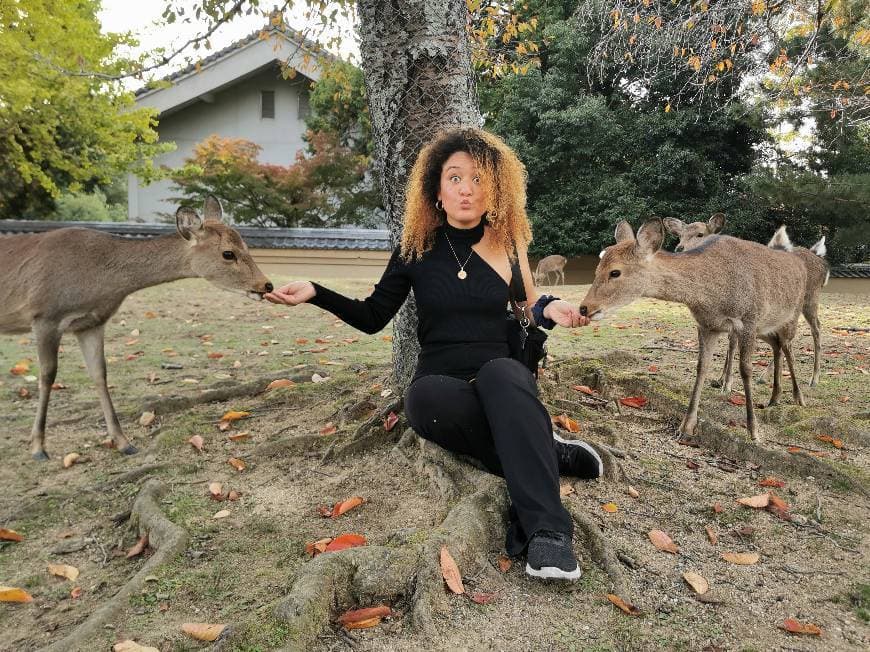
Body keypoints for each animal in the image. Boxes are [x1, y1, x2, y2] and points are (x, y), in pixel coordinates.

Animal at [0, 196, 272, 460]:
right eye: (228, 253)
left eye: (245, 245)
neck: (97, 280)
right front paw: (38, 448)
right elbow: (47, 375)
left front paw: (124, 443)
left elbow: (99, 373)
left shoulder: (91, 323)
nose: (266, 285)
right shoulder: (44, 315)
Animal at [584, 220, 808, 444]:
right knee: (777, 345)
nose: (584, 308)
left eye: (615, 272)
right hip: (766, 327)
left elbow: (746, 370)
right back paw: (774, 397)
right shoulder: (707, 326)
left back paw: (799, 398)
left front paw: (753, 431)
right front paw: (686, 426)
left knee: (789, 349)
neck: (711, 296)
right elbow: (701, 367)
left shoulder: (749, 320)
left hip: (791, 315)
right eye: (597, 268)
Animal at [668, 216, 832, 392]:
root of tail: (822, 262)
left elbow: (733, 344)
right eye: (680, 235)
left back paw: (814, 379)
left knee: (816, 328)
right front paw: (720, 380)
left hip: (810, 299)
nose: (679, 248)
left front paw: (727, 385)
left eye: (700, 234)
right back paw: (766, 377)